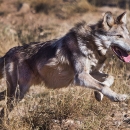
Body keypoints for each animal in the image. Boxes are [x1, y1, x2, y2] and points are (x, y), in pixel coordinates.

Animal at [0, 11, 129, 116]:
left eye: (128, 36)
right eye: (119, 36)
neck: (91, 44)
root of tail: (9, 52)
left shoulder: (92, 72)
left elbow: (109, 78)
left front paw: (98, 94)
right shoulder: (80, 76)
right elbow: (102, 85)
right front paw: (117, 96)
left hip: (19, 92)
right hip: (17, 93)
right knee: (4, 111)